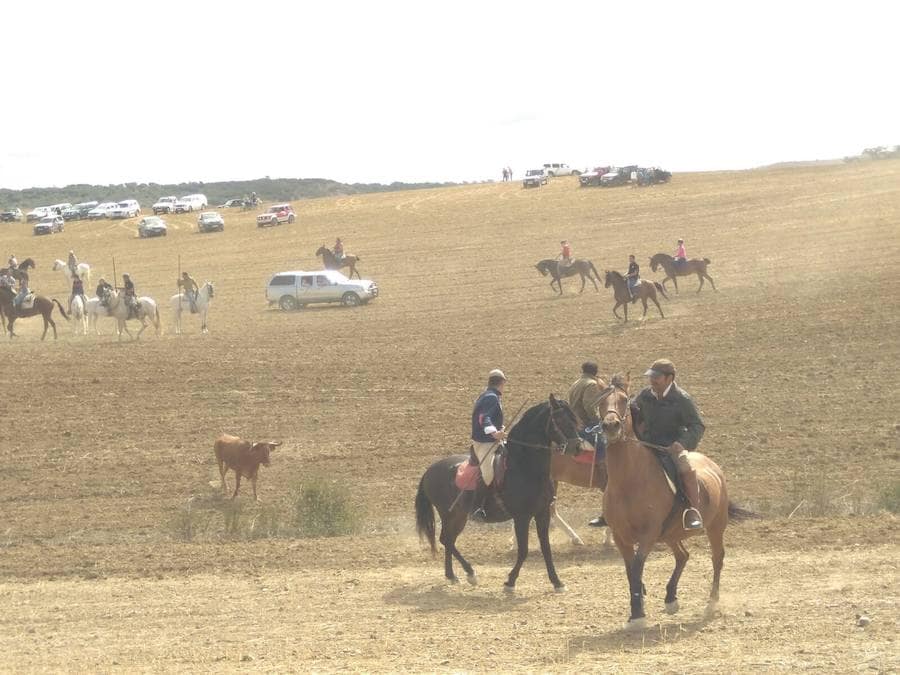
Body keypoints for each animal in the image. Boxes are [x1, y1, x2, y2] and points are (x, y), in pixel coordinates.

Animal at [416, 396, 592, 592]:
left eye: (575, 419)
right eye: (559, 420)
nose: (577, 447)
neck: (524, 466)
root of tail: (429, 470)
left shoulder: (542, 513)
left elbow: (546, 548)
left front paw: (557, 582)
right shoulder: (522, 517)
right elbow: (523, 550)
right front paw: (510, 582)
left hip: (458, 516)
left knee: (448, 540)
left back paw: (453, 575)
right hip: (449, 515)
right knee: (446, 539)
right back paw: (469, 573)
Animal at [600, 374, 756, 628]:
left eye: (623, 399)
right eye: (600, 400)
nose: (610, 426)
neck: (629, 482)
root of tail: (713, 467)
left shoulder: (648, 534)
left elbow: (637, 566)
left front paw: (638, 614)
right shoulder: (620, 536)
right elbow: (630, 570)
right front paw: (637, 608)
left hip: (714, 527)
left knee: (717, 558)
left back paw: (711, 604)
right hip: (671, 534)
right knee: (683, 555)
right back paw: (671, 598)